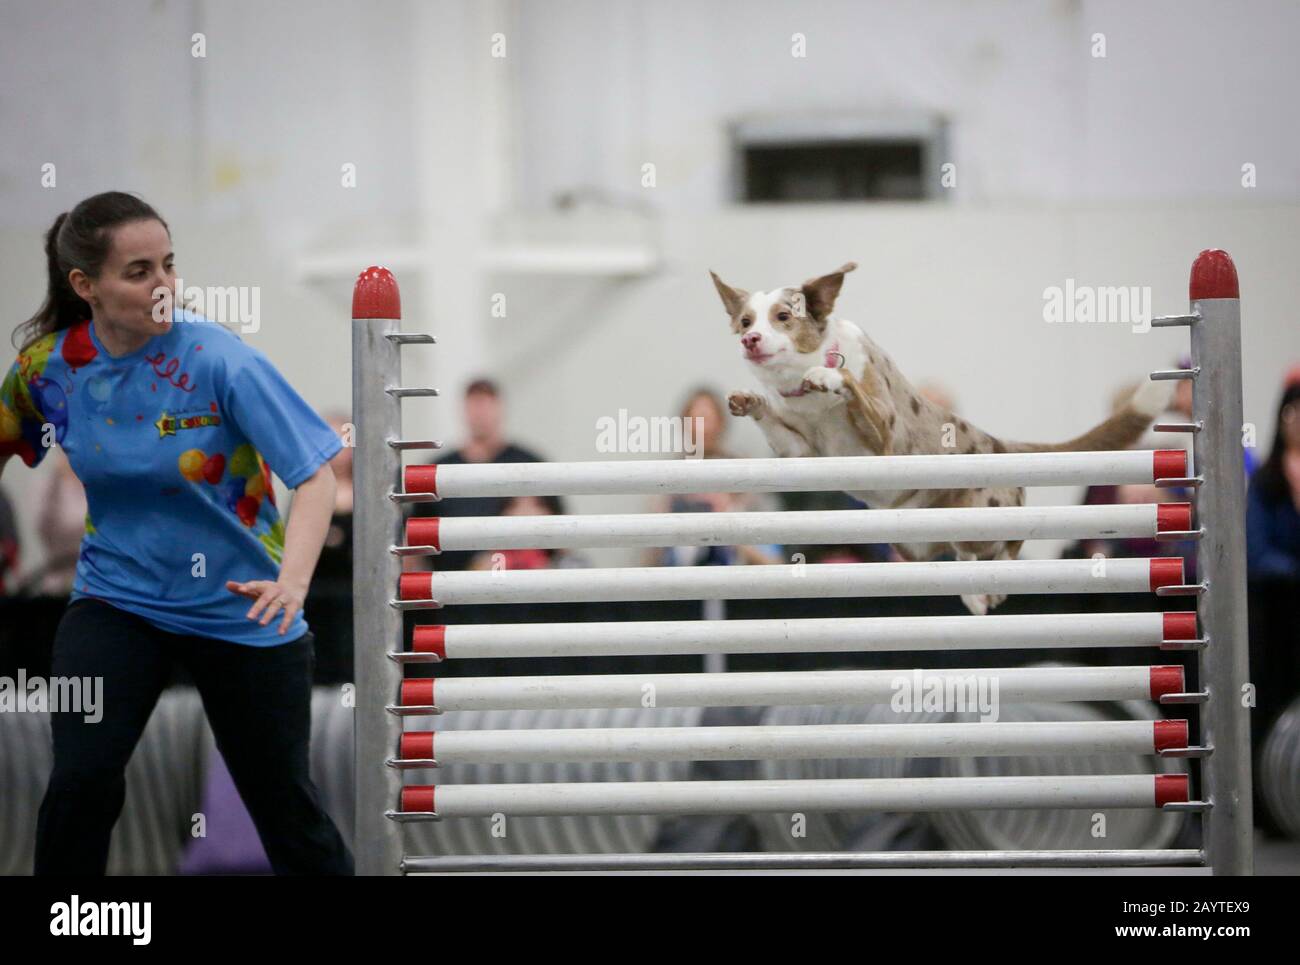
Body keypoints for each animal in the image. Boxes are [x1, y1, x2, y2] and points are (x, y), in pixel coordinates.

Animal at [717, 261, 1175, 616]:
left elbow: (847, 380)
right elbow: (779, 423)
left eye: (783, 317)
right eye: (745, 321)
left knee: (1010, 548)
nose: (750, 339)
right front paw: (749, 398)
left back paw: (991, 587)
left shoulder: (885, 432)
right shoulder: (804, 450)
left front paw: (827, 376)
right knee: (965, 557)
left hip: (986, 518)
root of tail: (1000, 446)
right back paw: (974, 594)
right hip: (914, 547)